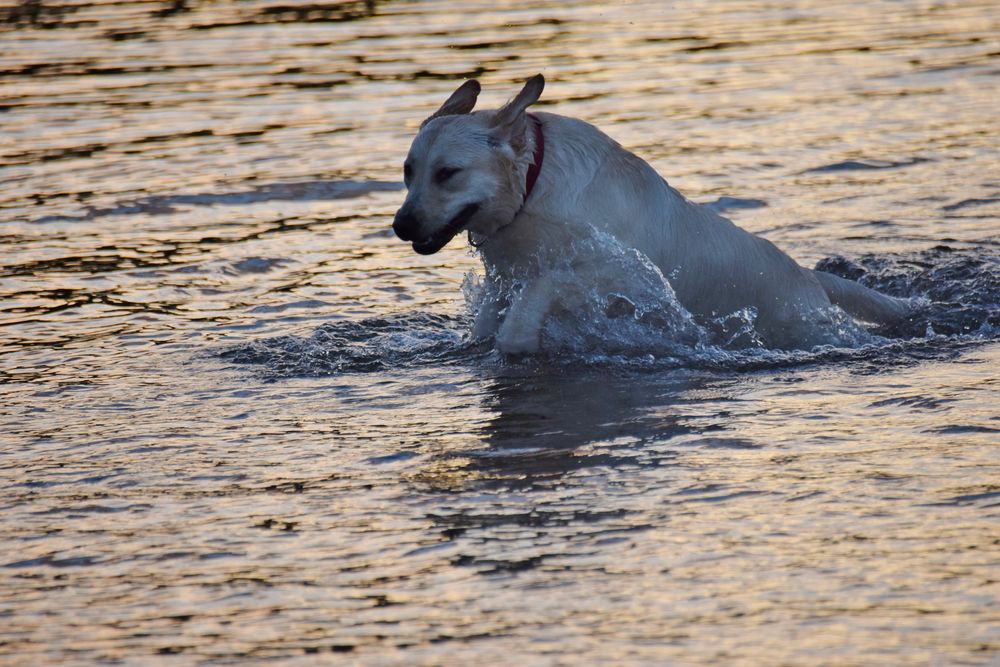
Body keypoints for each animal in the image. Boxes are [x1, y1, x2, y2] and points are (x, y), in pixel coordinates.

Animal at [394, 74, 912, 354]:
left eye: (448, 173)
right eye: (408, 171)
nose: (400, 226)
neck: (531, 188)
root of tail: (808, 277)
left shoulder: (617, 269)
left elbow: (541, 291)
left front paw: (516, 340)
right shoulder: (506, 275)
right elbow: (492, 318)